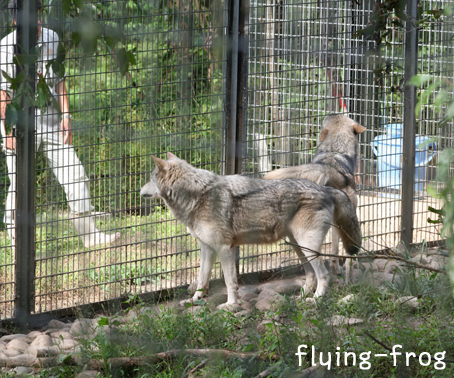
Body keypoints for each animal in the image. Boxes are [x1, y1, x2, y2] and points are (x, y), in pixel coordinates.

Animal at [140, 152, 360, 308]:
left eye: (150, 178)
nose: (139, 191)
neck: (197, 196)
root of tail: (327, 189)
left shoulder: (224, 249)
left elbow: (229, 281)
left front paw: (230, 305)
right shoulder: (207, 249)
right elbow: (202, 279)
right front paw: (195, 300)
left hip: (308, 247)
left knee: (324, 275)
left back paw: (315, 299)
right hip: (298, 247)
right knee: (312, 275)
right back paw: (301, 297)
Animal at [262, 112, 366, 274]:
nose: (331, 112)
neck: (334, 151)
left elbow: (334, 250)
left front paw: (336, 269)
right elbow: (338, 250)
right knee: (346, 254)